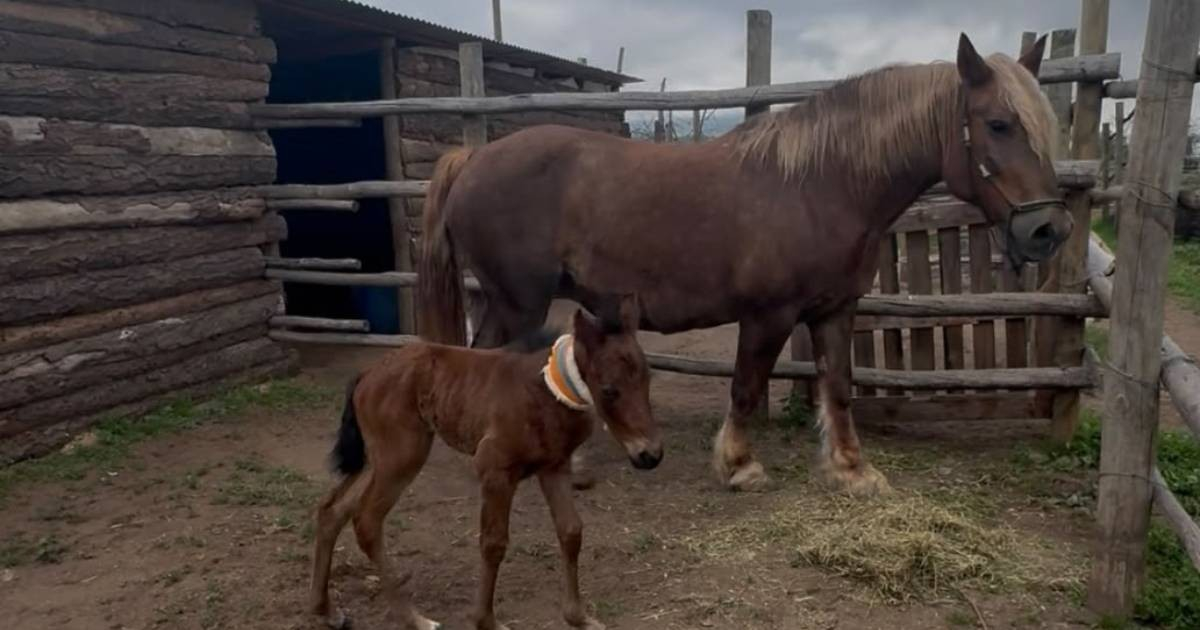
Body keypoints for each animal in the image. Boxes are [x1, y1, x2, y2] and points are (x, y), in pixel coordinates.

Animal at [308, 294, 659, 630]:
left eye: (647, 379)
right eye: (609, 390)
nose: (650, 455)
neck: (547, 391)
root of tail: (367, 374)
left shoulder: (554, 467)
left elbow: (571, 531)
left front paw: (578, 617)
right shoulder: (494, 470)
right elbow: (494, 543)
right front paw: (485, 620)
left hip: (377, 458)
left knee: (332, 509)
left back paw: (327, 611)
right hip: (402, 456)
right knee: (366, 520)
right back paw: (414, 618)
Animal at [417, 34, 1068, 496]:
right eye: (998, 124)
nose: (1049, 230)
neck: (820, 185)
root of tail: (473, 157)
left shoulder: (835, 310)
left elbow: (839, 387)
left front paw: (852, 470)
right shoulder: (768, 315)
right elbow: (747, 387)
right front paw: (738, 466)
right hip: (518, 301)